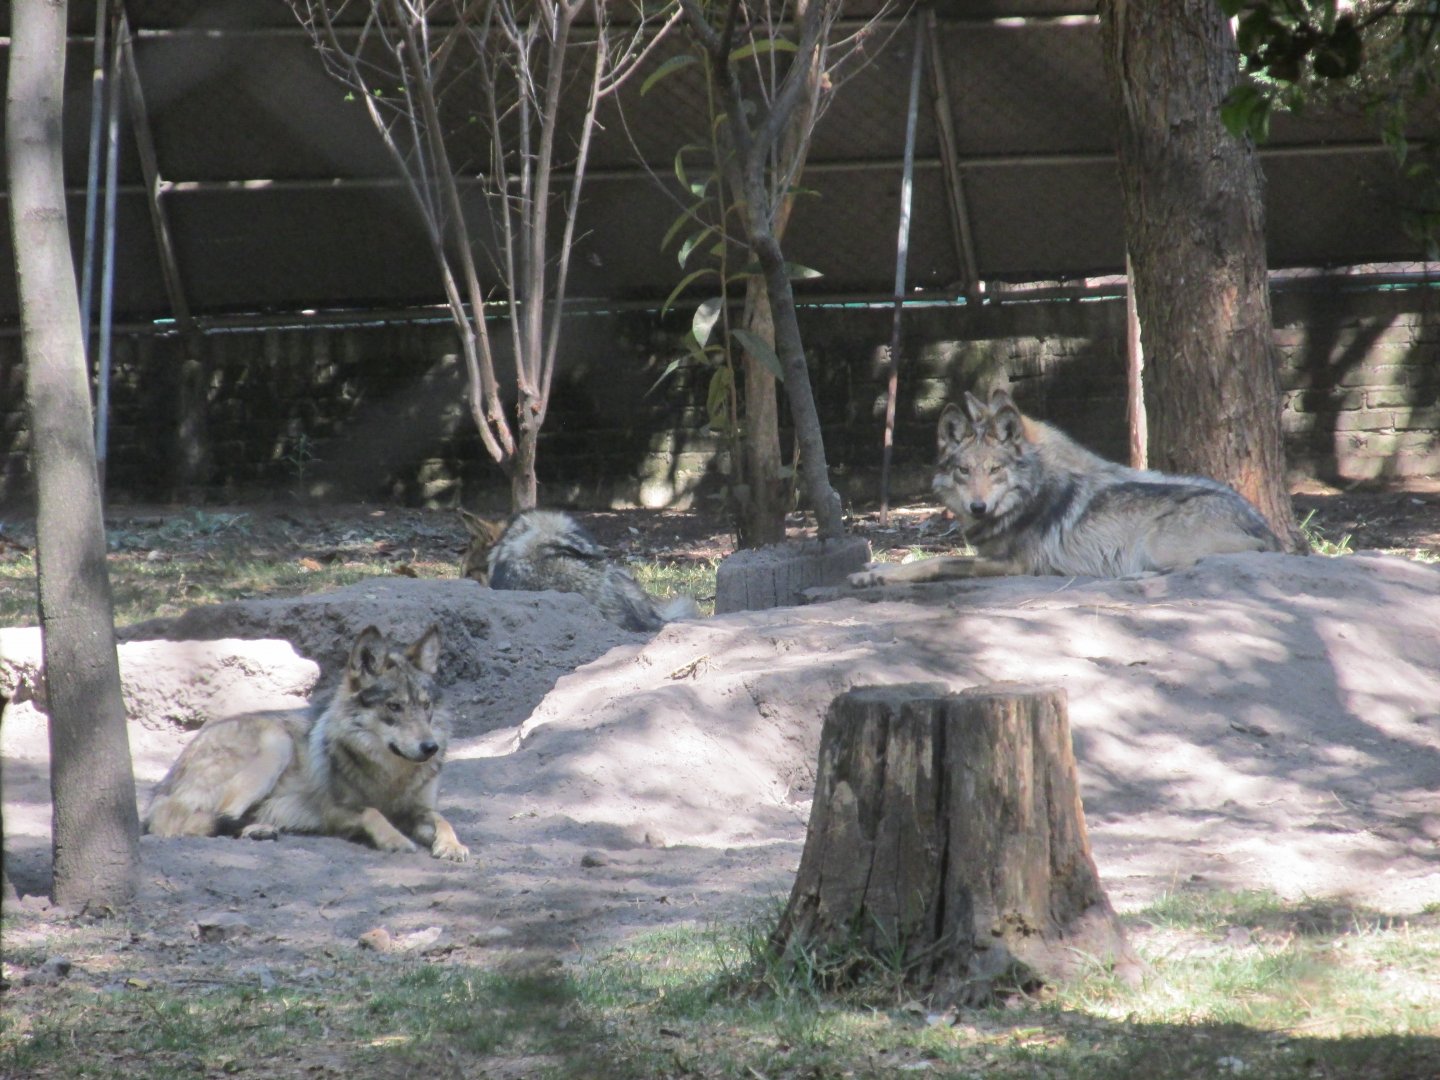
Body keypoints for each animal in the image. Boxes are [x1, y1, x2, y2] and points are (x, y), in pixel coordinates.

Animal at [143, 624, 469, 862]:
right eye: (394, 707)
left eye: (425, 706)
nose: (430, 748)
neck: (391, 774)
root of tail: (161, 788)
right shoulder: (332, 810)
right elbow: (372, 812)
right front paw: (395, 839)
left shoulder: (420, 808)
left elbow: (443, 820)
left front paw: (452, 846)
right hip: (276, 743)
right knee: (203, 820)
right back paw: (257, 828)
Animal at [850, 388, 1282, 586]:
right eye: (963, 471)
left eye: (995, 470)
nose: (978, 507)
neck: (1025, 499)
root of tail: (1265, 526)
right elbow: (913, 560)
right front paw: (872, 568)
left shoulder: (1013, 565)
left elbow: (936, 562)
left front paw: (876, 576)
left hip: (1159, 544)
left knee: (1205, 563)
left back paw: (1135, 576)